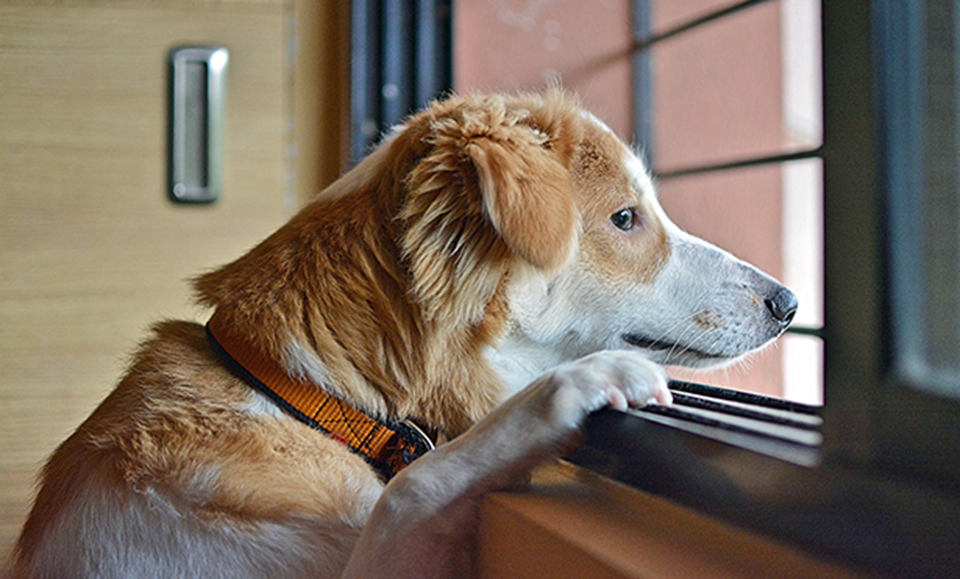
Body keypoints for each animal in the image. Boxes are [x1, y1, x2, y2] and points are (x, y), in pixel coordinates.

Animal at [7, 90, 796, 579]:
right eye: (626, 218)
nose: (788, 301)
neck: (311, 398)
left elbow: (411, 486)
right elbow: (416, 486)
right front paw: (574, 387)